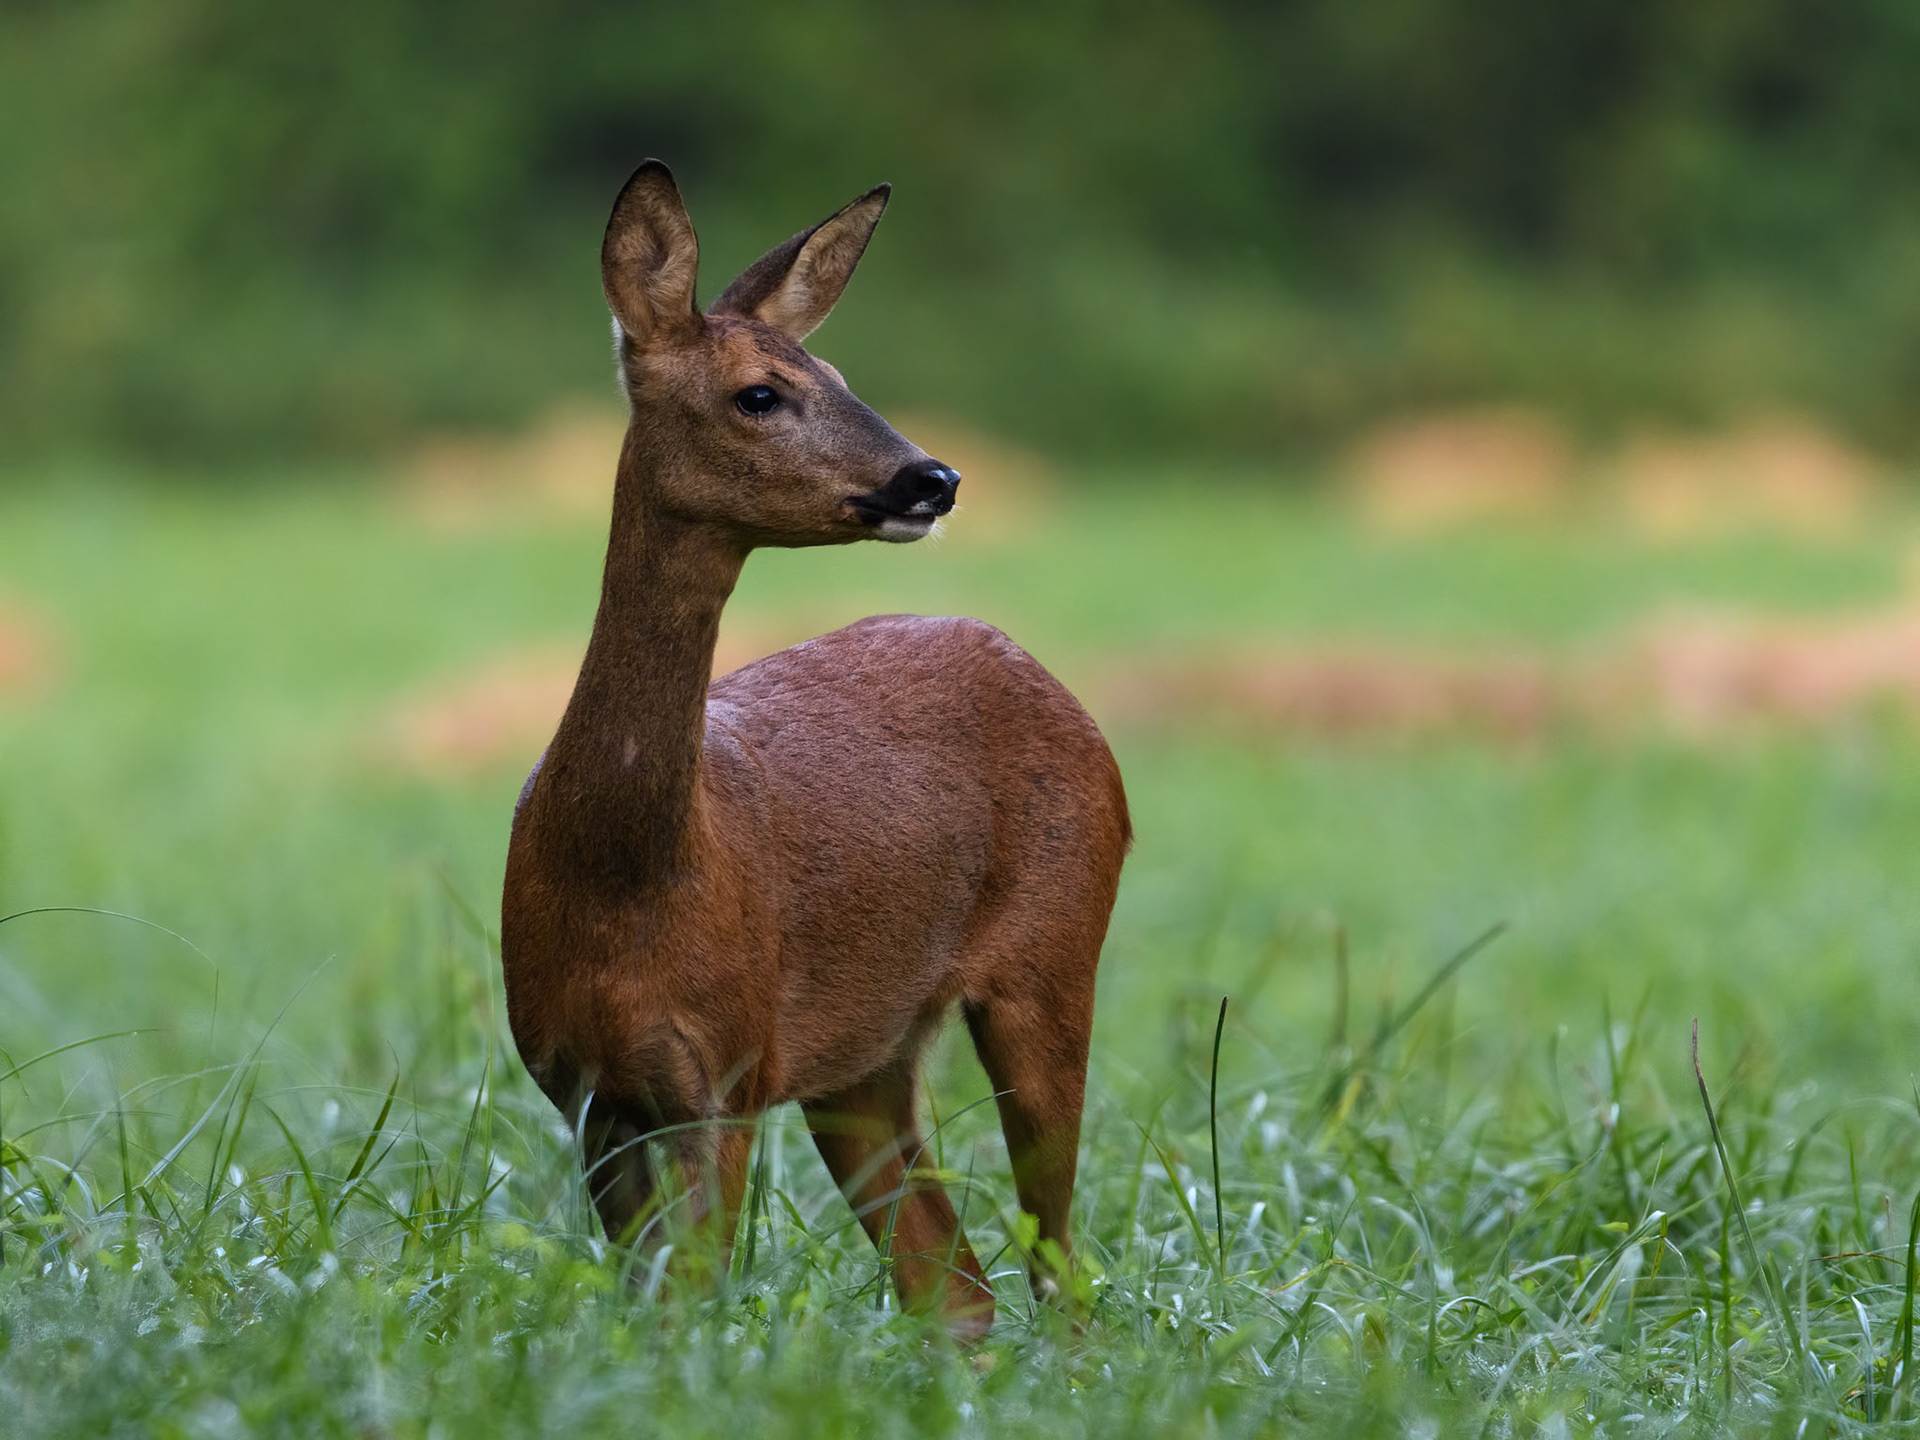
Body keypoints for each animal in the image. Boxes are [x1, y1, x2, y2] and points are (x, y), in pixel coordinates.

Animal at [500, 161, 1130, 1341]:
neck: (624, 874)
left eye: (838, 371)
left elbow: (696, 1296)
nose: (934, 478)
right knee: (955, 1284)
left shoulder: (726, 1066)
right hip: (867, 1057)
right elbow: (653, 1303)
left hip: (1052, 955)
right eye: (761, 392)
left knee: (1056, 1267)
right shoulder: (586, 1090)